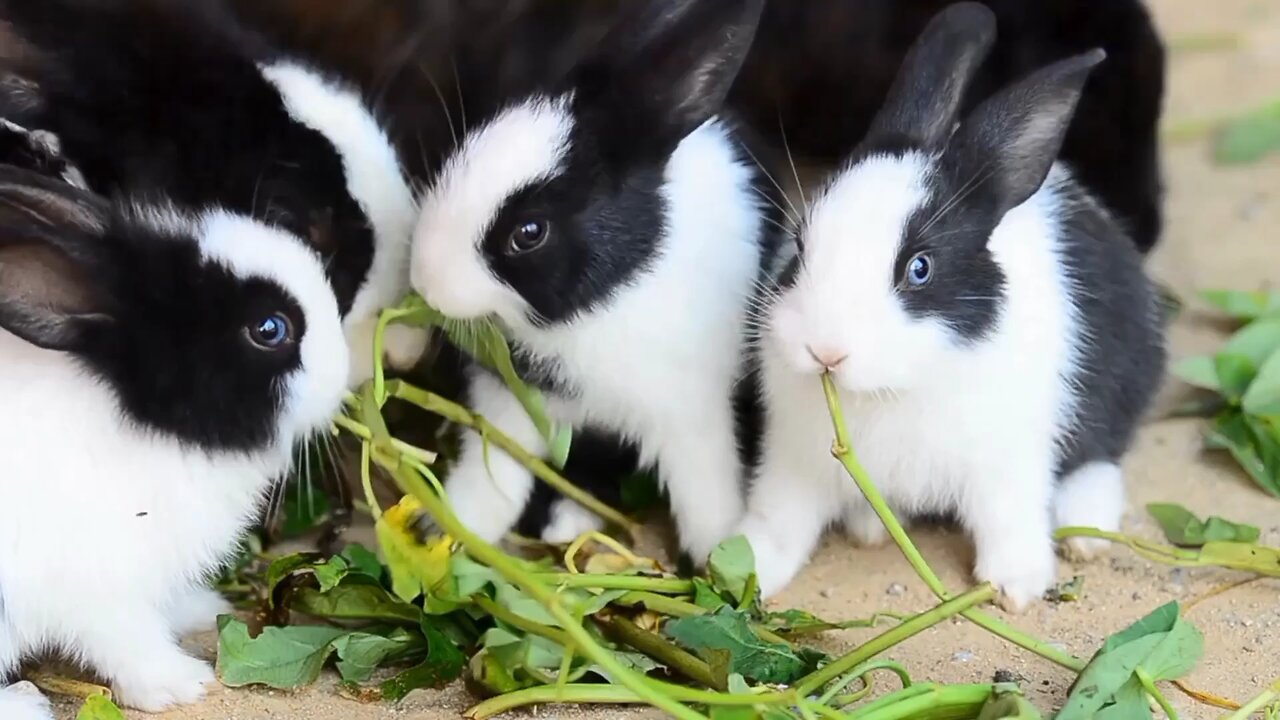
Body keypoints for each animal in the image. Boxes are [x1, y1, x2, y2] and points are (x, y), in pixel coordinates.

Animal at [0, 163, 350, 712]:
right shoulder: (94, 583)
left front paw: (201, 608)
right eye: (270, 329)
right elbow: (125, 640)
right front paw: (181, 684)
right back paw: (25, 706)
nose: (345, 374)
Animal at [409, 0, 788, 563]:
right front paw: (451, 528)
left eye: (529, 232)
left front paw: (720, 561)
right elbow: (495, 473)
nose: (424, 278)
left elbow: (704, 492)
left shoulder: (693, 413)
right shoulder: (511, 402)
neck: (599, 306)